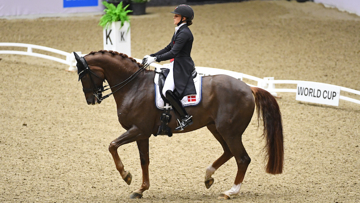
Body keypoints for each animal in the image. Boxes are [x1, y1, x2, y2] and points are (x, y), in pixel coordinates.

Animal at [74, 50, 286, 199]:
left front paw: (126, 176)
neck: (134, 86)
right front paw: (140, 189)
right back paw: (208, 177)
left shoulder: (138, 130)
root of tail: (249, 88)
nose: (91, 100)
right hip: (216, 128)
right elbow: (144, 160)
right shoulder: (142, 134)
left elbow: (112, 146)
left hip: (230, 131)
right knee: (228, 152)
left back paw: (230, 192)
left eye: (83, 75)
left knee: (242, 159)